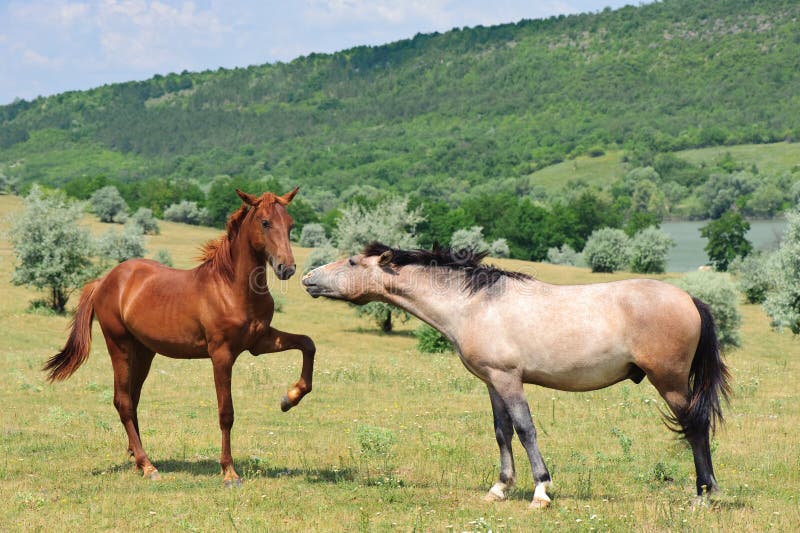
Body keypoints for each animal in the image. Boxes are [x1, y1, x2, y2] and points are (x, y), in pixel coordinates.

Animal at [44, 188, 316, 486]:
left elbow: (308, 344)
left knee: (132, 399)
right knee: (123, 401)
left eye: (290, 224)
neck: (230, 287)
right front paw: (229, 472)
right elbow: (226, 413)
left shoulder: (260, 341)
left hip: (144, 352)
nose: (286, 268)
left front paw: (289, 399)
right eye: (265, 222)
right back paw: (147, 466)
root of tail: (103, 281)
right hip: (120, 345)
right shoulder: (221, 355)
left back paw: (137, 459)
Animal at [302, 243, 730, 508]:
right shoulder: (493, 381)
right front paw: (500, 487)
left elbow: (525, 430)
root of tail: (690, 299)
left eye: (352, 263)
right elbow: (502, 432)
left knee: (695, 426)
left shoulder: (510, 379)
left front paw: (541, 490)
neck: (474, 304)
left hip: (670, 383)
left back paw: (703, 494)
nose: (308, 278)